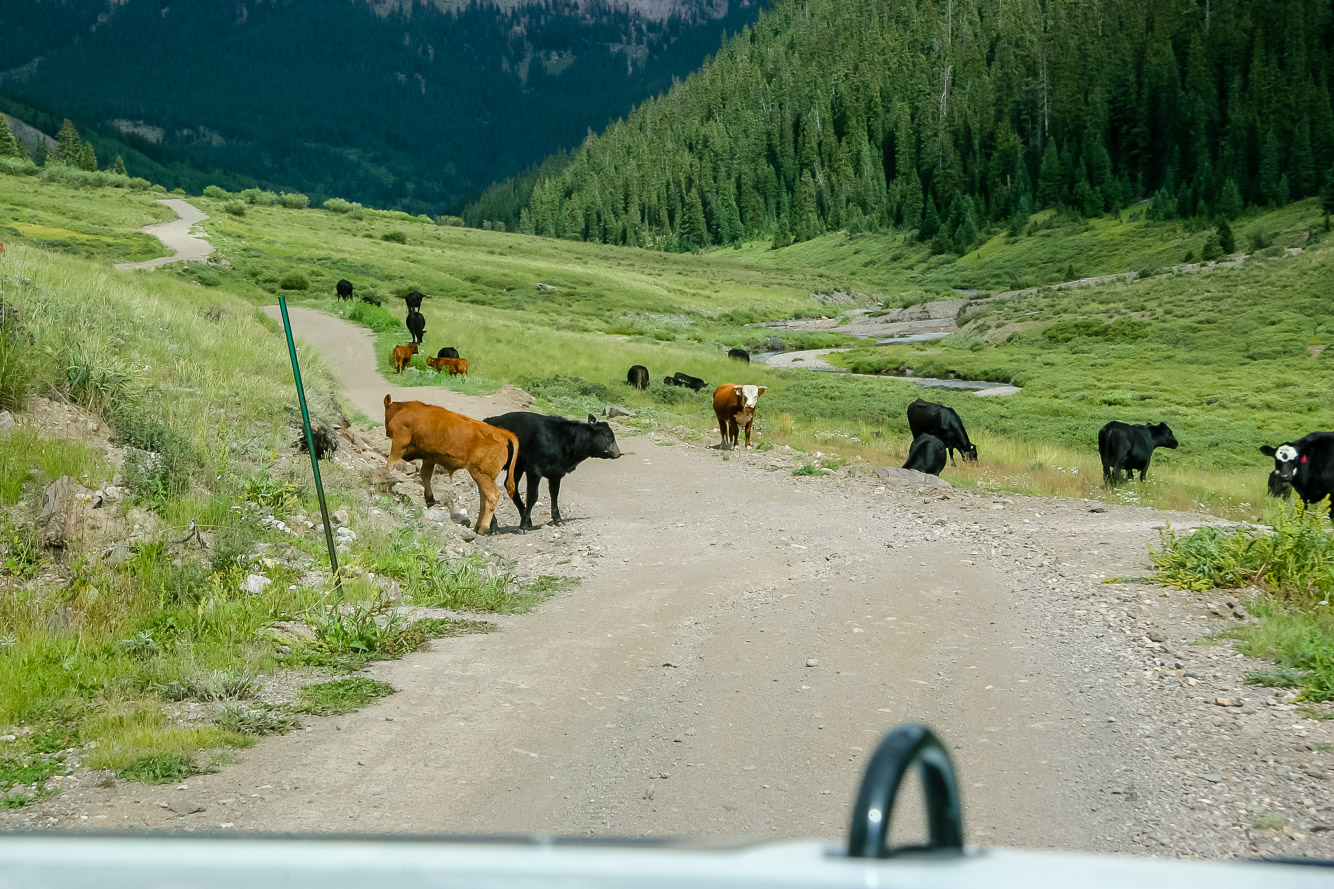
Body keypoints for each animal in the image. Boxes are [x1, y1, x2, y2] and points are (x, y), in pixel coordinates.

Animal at [384, 395, 517, 533]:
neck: (402, 410)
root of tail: (502, 434)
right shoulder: (429, 458)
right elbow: (425, 475)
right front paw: (429, 499)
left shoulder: (398, 444)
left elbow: (390, 463)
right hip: (482, 477)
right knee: (483, 499)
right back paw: (477, 526)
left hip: (482, 475)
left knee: (492, 496)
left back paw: (483, 528)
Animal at [482, 411, 621, 528]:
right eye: (609, 436)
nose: (618, 454)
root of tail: (487, 420)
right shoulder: (534, 470)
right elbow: (532, 496)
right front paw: (523, 526)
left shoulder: (556, 473)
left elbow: (554, 494)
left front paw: (557, 519)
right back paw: (493, 526)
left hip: (517, 467)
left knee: (510, 486)